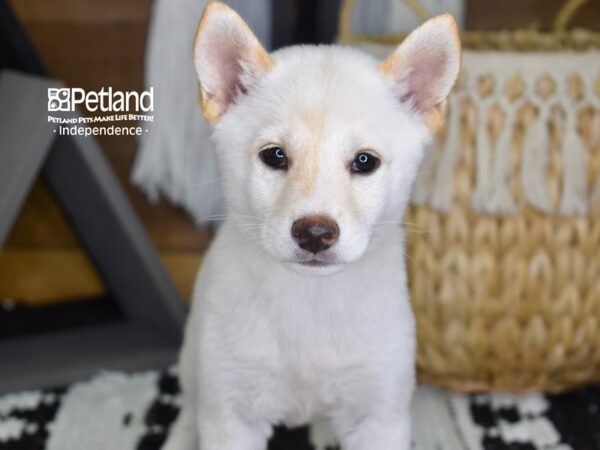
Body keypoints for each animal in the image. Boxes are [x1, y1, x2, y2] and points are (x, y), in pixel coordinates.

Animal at [162, 3, 462, 450]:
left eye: (365, 161)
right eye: (274, 156)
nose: (315, 233)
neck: (311, 300)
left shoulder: (380, 416)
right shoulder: (232, 416)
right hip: (196, 361)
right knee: (189, 407)